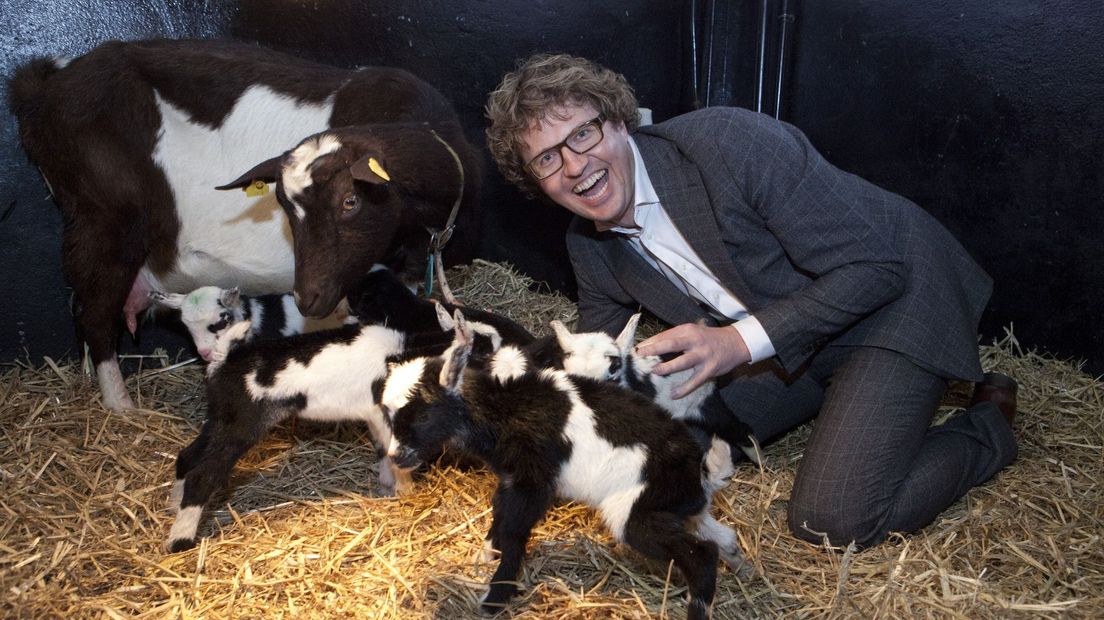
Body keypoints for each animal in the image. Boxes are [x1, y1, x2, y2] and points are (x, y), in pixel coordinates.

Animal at [377, 313, 750, 617]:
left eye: (423, 415)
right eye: (389, 414)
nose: (396, 456)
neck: (504, 407)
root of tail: (697, 472)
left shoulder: (533, 481)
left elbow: (514, 533)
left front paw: (495, 598)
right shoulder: (512, 479)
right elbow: (501, 518)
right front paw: (486, 556)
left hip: (637, 511)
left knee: (702, 555)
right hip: (675, 509)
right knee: (721, 536)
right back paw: (740, 566)